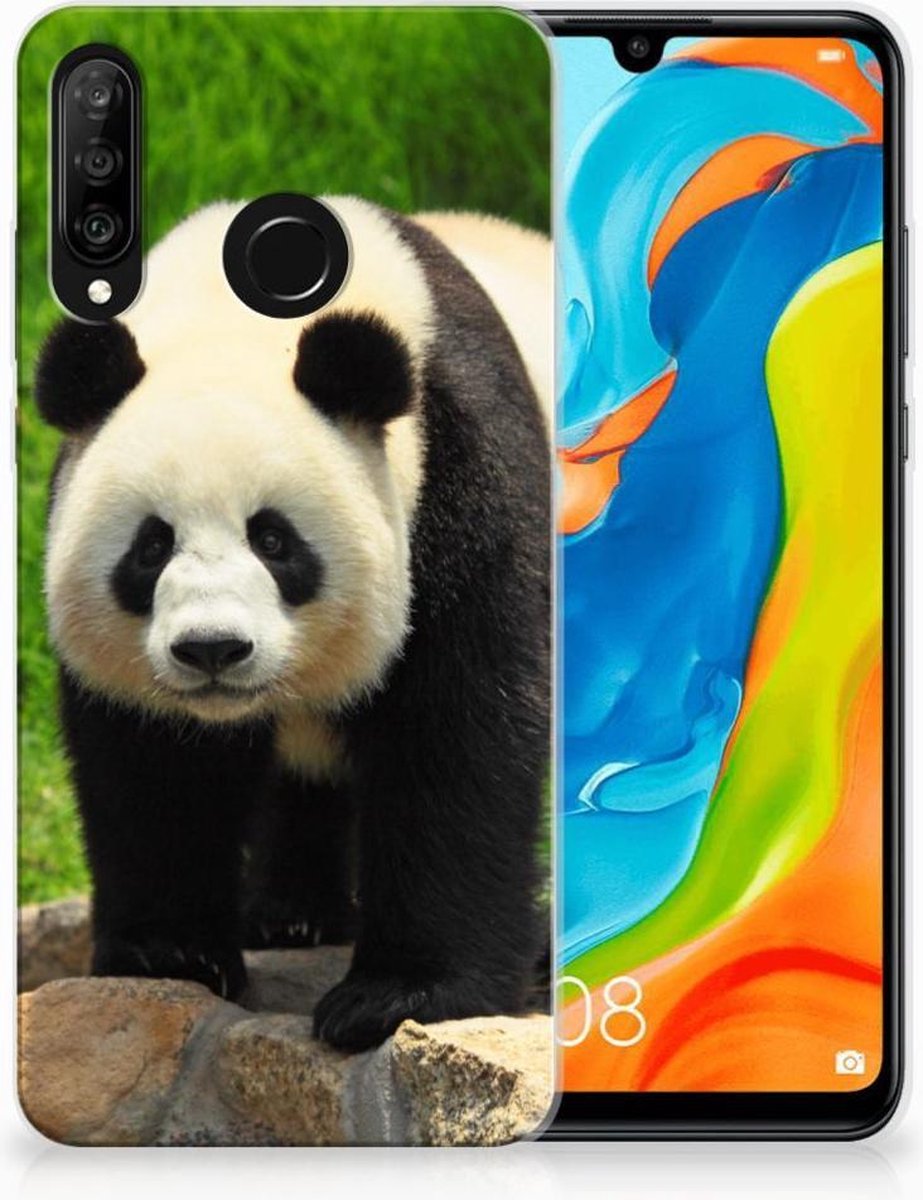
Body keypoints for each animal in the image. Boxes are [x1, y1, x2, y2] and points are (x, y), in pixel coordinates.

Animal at [34, 197, 551, 1051]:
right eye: (151, 546)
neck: (235, 319)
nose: (212, 649)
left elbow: (458, 731)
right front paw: (169, 953)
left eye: (274, 540)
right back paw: (291, 915)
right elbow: (154, 764)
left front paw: (399, 995)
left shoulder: (462, 473)